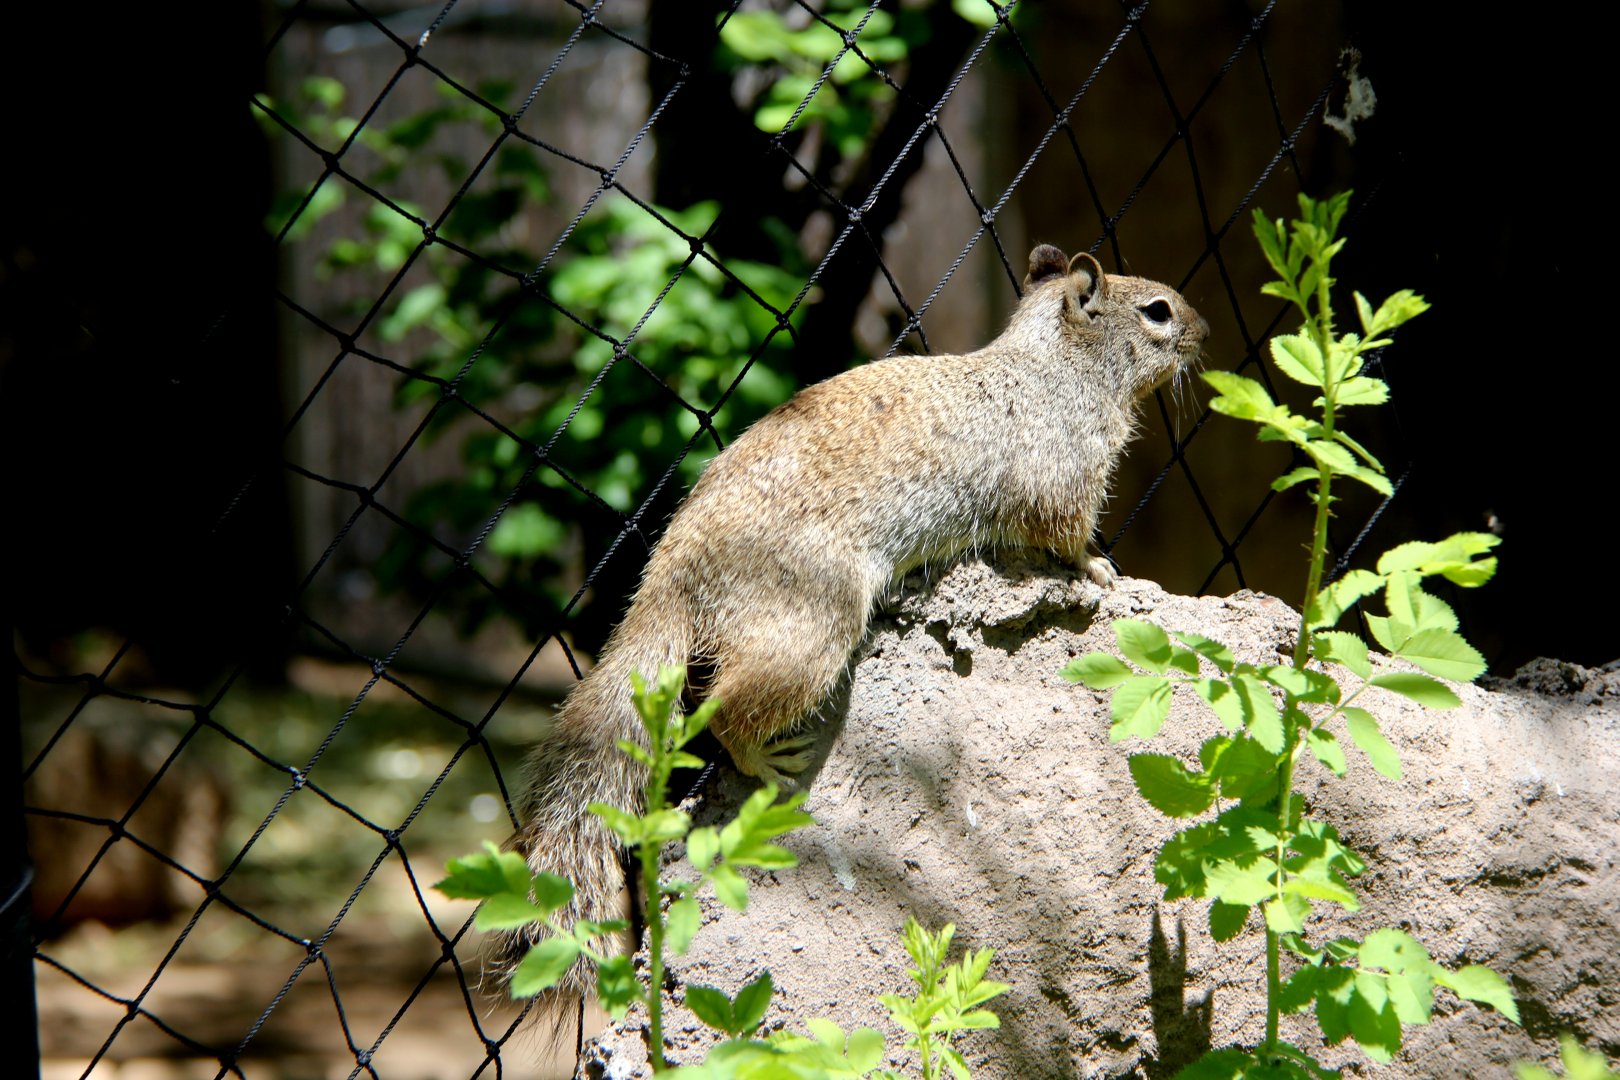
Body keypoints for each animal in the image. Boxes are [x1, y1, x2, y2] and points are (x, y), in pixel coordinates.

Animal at [501, 244, 1209, 994]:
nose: (1205, 330)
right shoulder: (1062, 475)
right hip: (813, 624)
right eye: (1158, 311)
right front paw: (1097, 568)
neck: (1054, 365)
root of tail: (673, 573)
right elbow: (1065, 534)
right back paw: (767, 759)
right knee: (724, 710)